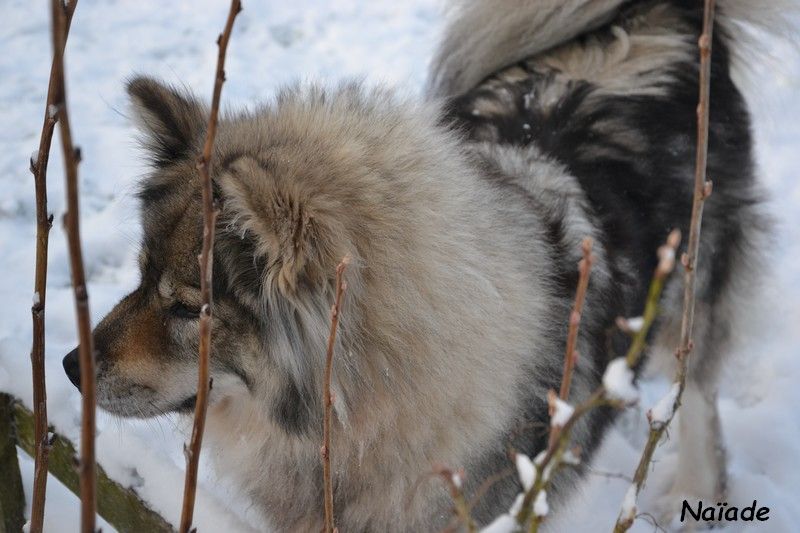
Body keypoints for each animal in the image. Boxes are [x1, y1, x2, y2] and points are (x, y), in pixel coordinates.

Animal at [64, 0, 792, 528]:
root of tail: (653, 23)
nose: (70, 367)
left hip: (695, 292)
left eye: (189, 307)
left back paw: (698, 490)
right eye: (140, 279)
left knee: (697, 395)